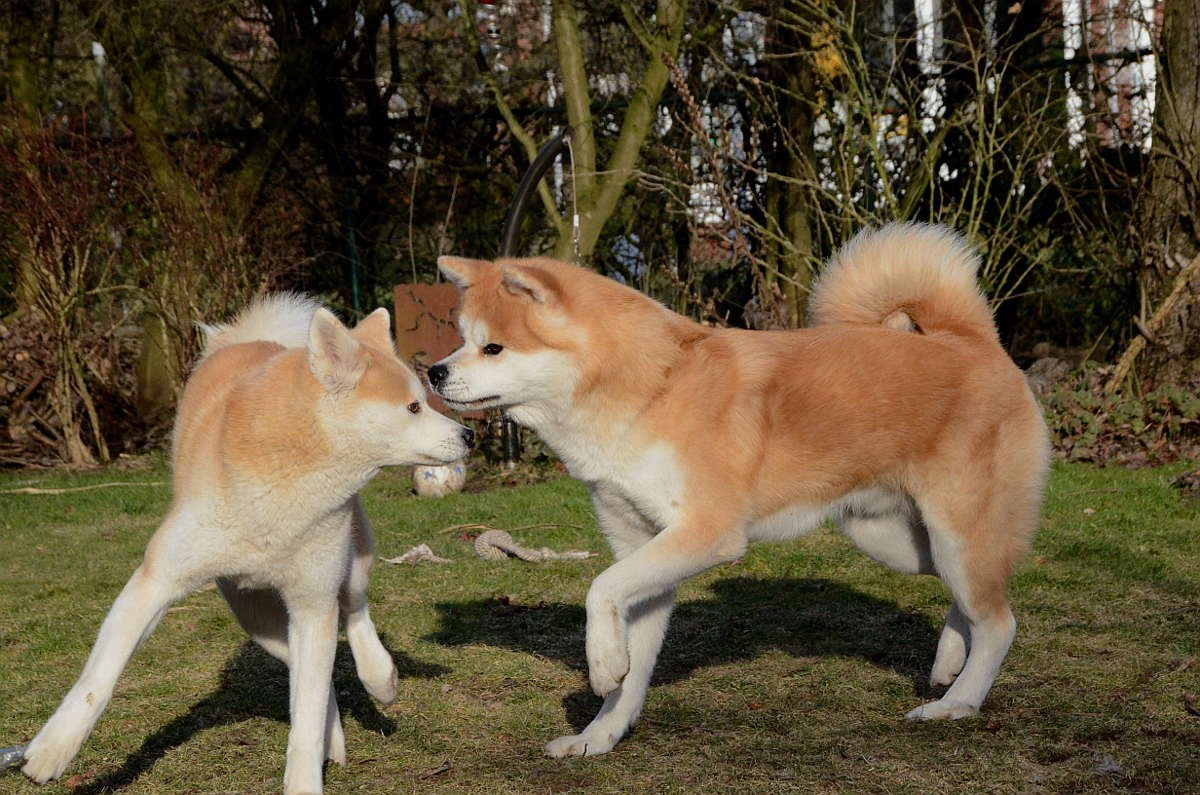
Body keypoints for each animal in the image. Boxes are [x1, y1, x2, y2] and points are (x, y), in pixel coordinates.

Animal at [21, 295, 473, 794]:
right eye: (413, 407)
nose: (470, 435)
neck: (291, 475)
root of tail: (251, 339)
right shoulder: (154, 582)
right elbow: (95, 682)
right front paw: (52, 749)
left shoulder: (313, 605)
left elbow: (306, 718)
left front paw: (304, 780)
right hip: (256, 618)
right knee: (309, 671)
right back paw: (335, 734)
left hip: (344, 568)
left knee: (353, 613)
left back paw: (379, 678)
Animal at [428, 223, 1049, 757]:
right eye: (461, 340)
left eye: (492, 348)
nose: (433, 372)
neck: (651, 389)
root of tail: (970, 339)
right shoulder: (642, 550)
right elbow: (629, 655)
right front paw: (598, 736)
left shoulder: (705, 533)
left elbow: (599, 590)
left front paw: (601, 664)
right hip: (899, 541)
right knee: (969, 604)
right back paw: (948, 665)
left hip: (956, 533)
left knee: (998, 623)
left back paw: (958, 703)